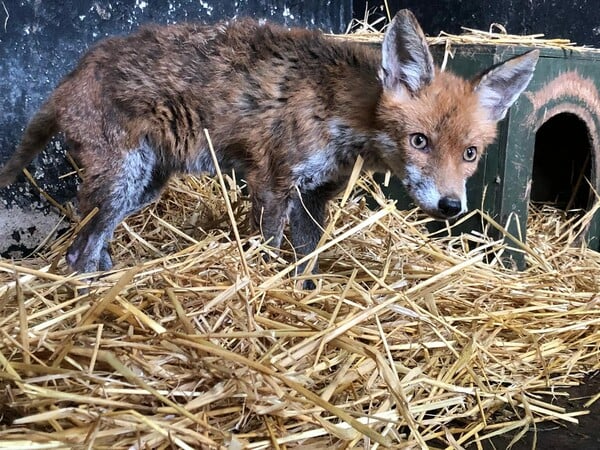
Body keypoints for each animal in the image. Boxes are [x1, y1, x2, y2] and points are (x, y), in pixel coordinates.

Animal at [0, 10, 540, 288]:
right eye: (419, 141)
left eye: (470, 154)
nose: (450, 206)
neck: (346, 112)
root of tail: (72, 72)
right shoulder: (272, 181)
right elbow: (269, 248)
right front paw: (262, 294)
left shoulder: (315, 195)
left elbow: (307, 259)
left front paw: (303, 296)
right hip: (122, 183)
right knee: (77, 252)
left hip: (141, 187)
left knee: (94, 245)